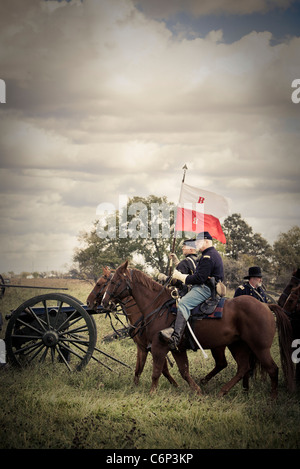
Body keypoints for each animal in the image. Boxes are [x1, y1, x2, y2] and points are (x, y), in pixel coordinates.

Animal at [102, 260, 294, 398]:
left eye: (114, 281)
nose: (104, 302)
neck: (158, 307)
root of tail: (266, 305)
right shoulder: (177, 349)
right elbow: (184, 371)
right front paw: (197, 391)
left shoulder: (158, 347)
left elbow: (156, 371)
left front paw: (151, 393)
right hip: (238, 345)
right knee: (243, 368)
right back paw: (223, 391)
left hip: (260, 348)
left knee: (272, 369)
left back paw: (272, 399)